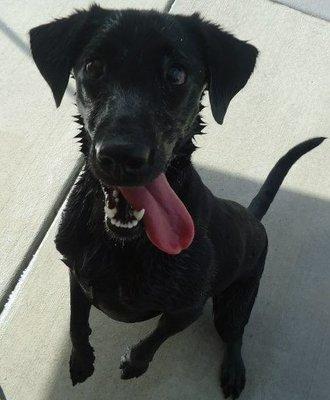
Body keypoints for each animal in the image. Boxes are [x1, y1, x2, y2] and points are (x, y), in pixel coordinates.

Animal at [31, 5, 324, 396]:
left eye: (176, 74)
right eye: (93, 67)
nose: (120, 155)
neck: (122, 245)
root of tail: (252, 217)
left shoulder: (188, 308)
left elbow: (156, 337)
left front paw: (135, 362)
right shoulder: (77, 275)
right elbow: (77, 321)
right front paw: (80, 360)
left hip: (234, 303)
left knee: (235, 335)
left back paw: (234, 370)